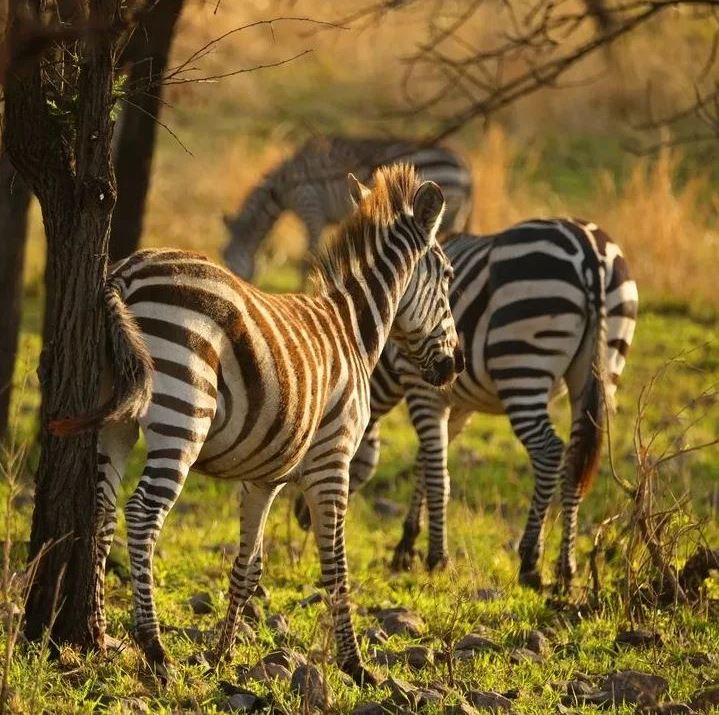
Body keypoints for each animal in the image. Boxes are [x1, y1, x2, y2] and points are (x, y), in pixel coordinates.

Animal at [50, 165, 463, 685]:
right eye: (448, 277)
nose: (454, 367)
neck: (352, 329)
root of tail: (124, 274)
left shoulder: (264, 478)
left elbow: (248, 568)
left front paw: (222, 656)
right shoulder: (332, 461)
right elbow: (337, 566)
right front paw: (355, 666)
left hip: (117, 419)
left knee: (103, 510)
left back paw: (102, 634)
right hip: (183, 413)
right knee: (142, 514)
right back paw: (155, 648)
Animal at [222, 135, 473, 281]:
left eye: (226, 259)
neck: (284, 186)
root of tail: (464, 163)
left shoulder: (310, 206)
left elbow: (307, 258)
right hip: (455, 216)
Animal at [295, 218, 638, 589]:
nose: (303, 519)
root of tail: (589, 251)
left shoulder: (423, 390)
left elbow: (435, 474)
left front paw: (435, 557)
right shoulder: (459, 406)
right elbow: (425, 463)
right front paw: (407, 544)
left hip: (522, 362)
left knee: (549, 451)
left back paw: (530, 560)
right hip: (599, 370)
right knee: (577, 459)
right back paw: (566, 568)